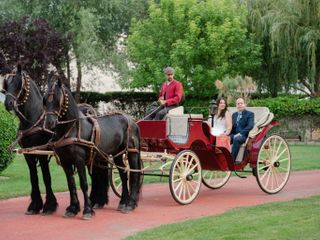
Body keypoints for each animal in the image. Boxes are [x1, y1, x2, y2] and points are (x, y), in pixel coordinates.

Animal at [1, 65, 57, 214]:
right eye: (6, 84)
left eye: (18, 83)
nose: (8, 103)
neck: (33, 120)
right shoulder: (27, 153)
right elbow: (33, 177)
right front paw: (35, 205)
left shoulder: (41, 153)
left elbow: (46, 177)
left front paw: (50, 205)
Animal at [43, 75, 141, 219]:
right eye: (45, 99)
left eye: (57, 99)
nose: (49, 123)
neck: (71, 128)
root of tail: (132, 120)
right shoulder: (65, 161)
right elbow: (71, 184)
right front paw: (72, 208)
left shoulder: (79, 160)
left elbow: (83, 184)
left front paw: (87, 210)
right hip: (117, 154)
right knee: (123, 174)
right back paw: (124, 202)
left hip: (132, 152)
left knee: (134, 174)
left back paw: (131, 203)